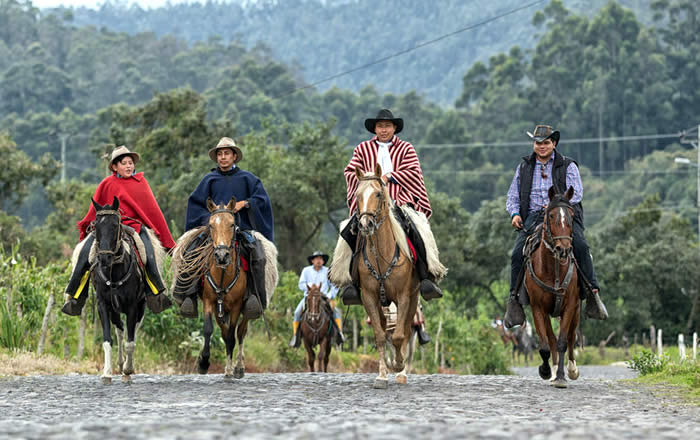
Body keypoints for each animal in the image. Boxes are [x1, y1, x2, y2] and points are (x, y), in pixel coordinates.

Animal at [90, 198, 154, 384]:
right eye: (96, 225)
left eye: (115, 225)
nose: (104, 258)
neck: (114, 271)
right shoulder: (103, 305)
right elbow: (107, 339)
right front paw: (107, 372)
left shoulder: (132, 306)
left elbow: (130, 342)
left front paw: (128, 369)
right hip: (115, 309)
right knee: (119, 330)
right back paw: (118, 363)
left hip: (140, 306)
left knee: (133, 331)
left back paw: (125, 365)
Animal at [358, 164, 418, 388]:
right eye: (357, 195)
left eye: (378, 193)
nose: (365, 224)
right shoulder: (368, 296)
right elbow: (380, 336)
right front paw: (382, 375)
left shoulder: (404, 296)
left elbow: (400, 336)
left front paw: (399, 367)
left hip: (414, 297)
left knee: (406, 331)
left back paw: (402, 371)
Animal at [524, 186, 580, 388]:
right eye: (550, 215)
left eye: (571, 215)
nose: (563, 249)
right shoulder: (538, 308)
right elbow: (545, 345)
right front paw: (546, 371)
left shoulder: (570, 305)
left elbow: (564, 340)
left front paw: (563, 376)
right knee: (551, 339)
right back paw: (554, 369)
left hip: (577, 310)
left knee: (571, 337)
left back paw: (571, 370)